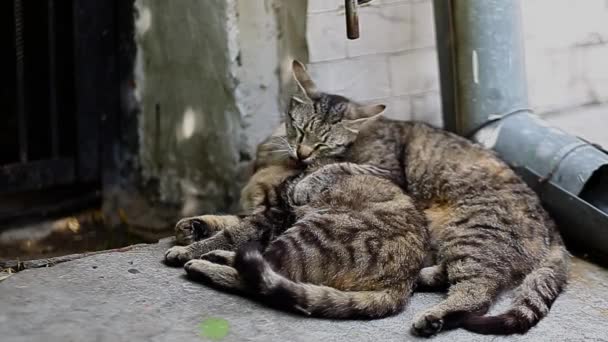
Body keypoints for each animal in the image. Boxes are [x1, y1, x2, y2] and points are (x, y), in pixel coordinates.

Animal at [166, 103, 430, 318]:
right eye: (299, 129)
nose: (300, 150)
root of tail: (403, 282)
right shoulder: (258, 212)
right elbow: (225, 221)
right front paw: (191, 227)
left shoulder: (273, 214)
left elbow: (230, 234)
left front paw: (188, 250)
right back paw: (218, 257)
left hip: (309, 232)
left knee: (261, 277)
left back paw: (205, 265)